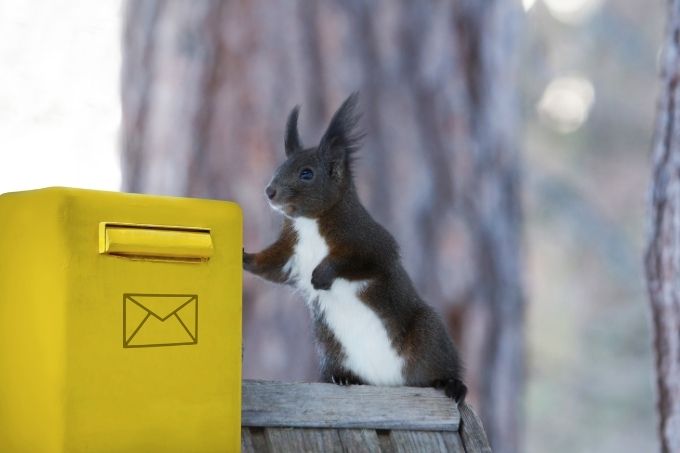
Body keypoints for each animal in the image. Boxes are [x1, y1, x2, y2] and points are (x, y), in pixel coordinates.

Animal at [243, 92, 468, 402]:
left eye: (307, 174)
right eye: (278, 168)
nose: (269, 192)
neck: (310, 223)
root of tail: (386, 381)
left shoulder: (370, 240)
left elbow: (357, 259)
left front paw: (321, 275)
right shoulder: (291, 252)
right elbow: (270, 267)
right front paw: (243, 256)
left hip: (428, 335)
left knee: (440, 366)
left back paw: (452, 385)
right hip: (329, 347)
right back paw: (342, 378)